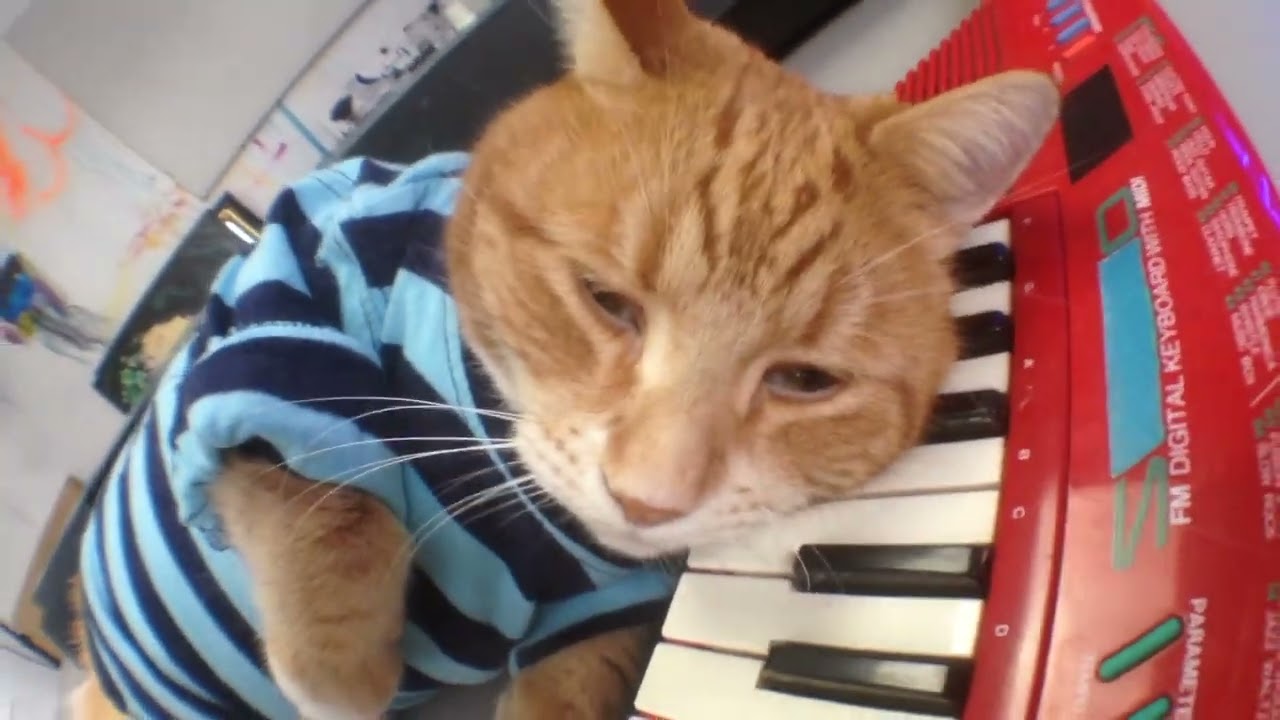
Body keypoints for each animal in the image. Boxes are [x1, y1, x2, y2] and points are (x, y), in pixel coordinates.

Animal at [68, 0, 1060, 718]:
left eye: (805, 381)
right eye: (605, 300)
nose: (649, 500)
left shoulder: (600, 612)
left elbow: (577, 678)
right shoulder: (270, 298)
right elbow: (319, 487)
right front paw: (338, 664)